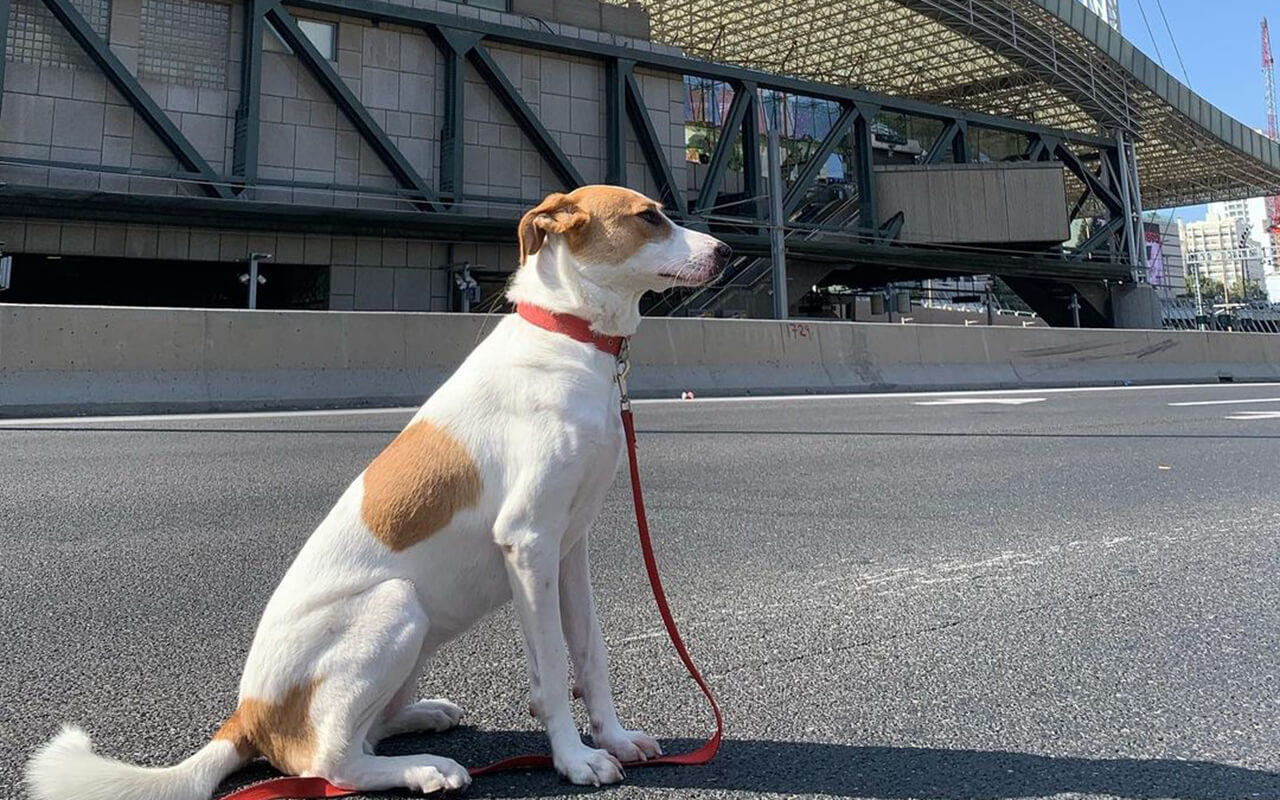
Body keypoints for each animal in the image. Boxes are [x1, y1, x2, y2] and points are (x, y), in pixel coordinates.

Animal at [27, 185, 732, 798]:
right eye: (649, 217)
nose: (725, 250)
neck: (568, 334)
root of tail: (246, 717)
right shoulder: (529, 541)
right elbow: (554, 672)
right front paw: (574, 759)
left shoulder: (569, 548)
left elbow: (590, 655)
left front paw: (613, 738)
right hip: (396, 605)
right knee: (331, 761)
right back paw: (426, 769)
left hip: (419, 633)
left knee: (364, 734)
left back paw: (423, 718)